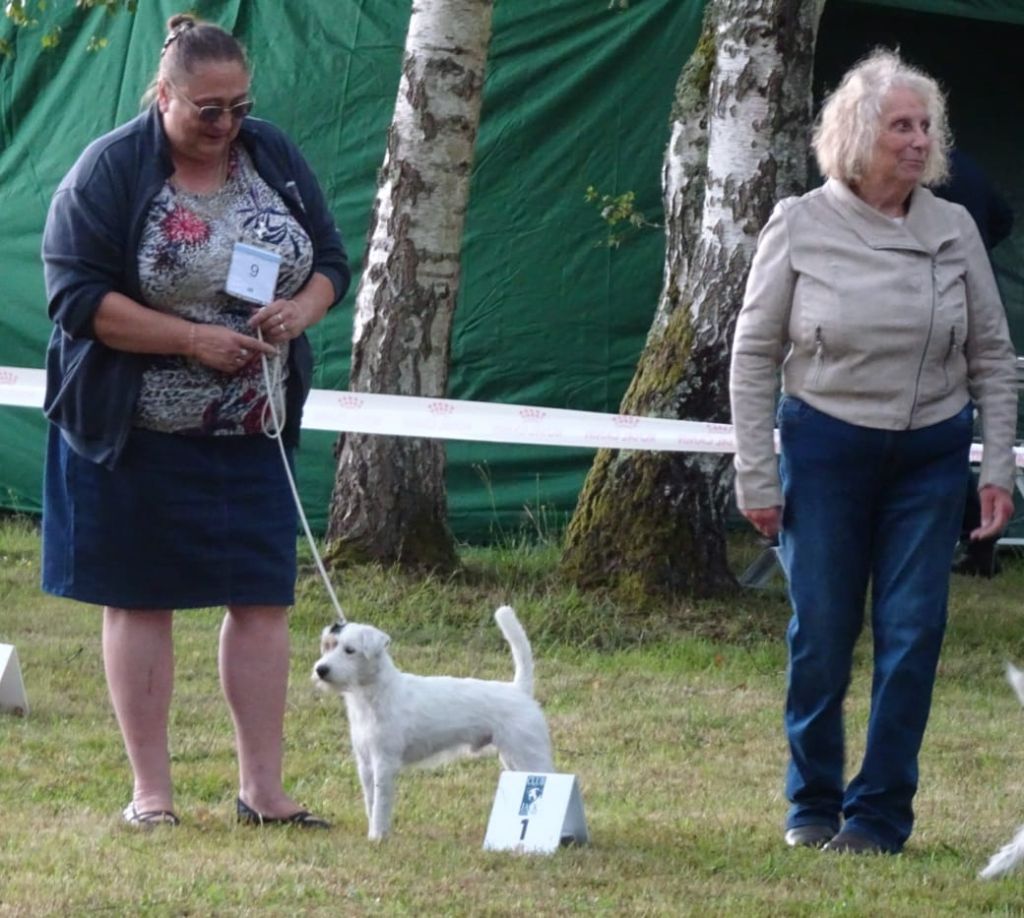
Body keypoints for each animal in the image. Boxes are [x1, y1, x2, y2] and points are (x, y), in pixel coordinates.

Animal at [311, 602, 552, 840]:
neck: (375, 695)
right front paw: (373, 834)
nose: (321, 670)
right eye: (327, 645)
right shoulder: (365, 763)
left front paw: (378, 836)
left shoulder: (384, 763)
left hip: (529, 755)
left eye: (349, 650)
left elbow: (380, 804)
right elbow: (371, 802)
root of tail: (520, 690)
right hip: (514, 759)